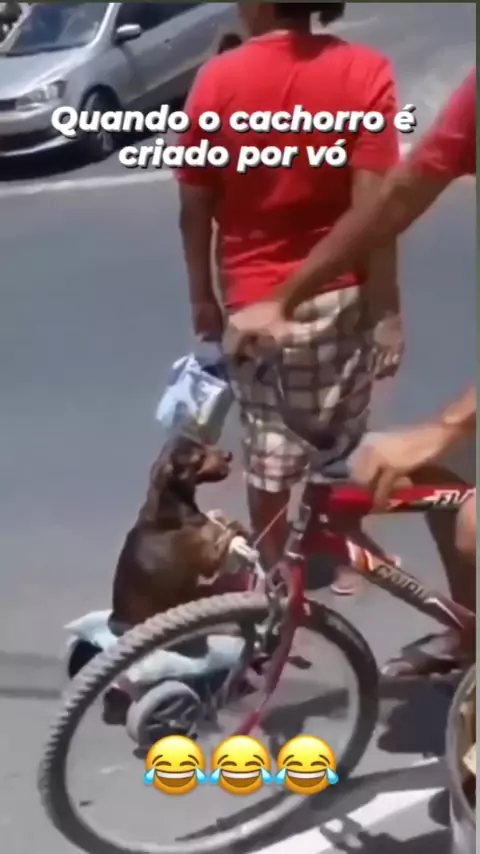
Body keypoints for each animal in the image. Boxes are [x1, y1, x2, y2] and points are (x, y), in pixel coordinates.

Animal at [111, 435, 250, 629]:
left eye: (203, 444)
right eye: (199, 458)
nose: (228, 455)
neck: (170, 506)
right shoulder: (209, 560)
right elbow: (231, 528)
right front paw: (238, 528)